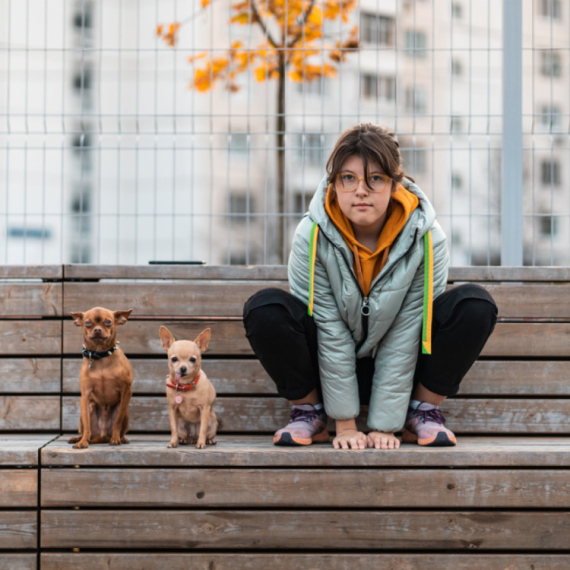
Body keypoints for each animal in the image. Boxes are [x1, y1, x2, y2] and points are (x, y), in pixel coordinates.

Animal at [67, 306, 133, 448]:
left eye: (108, 322)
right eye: (87, 323)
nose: (97, 329)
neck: (100, 355)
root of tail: (102, 436)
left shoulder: (126, 391)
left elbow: (117, 422)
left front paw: (115, 438)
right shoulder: (85, 395)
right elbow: (87, 425)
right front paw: (82, 442)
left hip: (124, 410)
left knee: (120, 424)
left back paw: (121, 438)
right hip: (88, 409)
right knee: (86, 429)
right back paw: (78, 438)